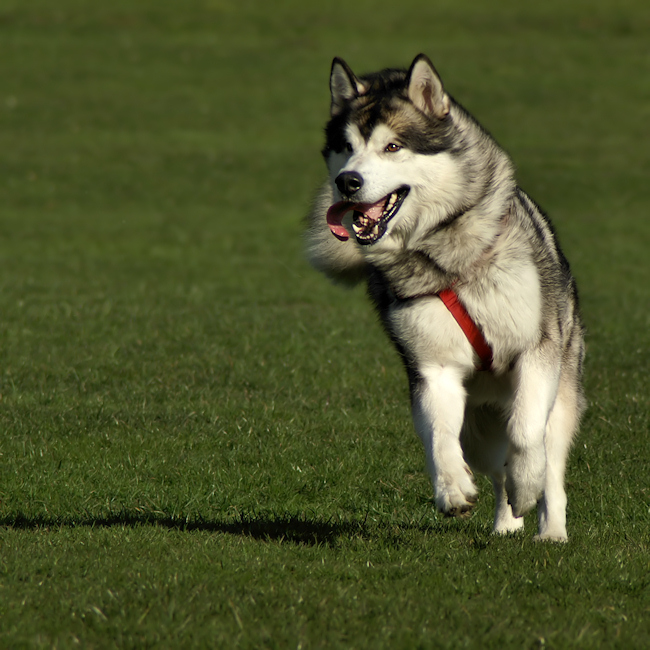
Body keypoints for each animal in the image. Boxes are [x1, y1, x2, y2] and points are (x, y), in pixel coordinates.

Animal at [306, 53, 584, 540]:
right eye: (345, 146)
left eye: (392, 147)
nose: (347, 182)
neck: (443, 256)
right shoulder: (431, 367)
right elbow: (438, 435)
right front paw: (452, 489)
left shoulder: (537, 349)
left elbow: (527, 432)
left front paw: (527, 486)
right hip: (479, 429)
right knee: (494, 465)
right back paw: (506, 523)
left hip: (561, 386)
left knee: (548, 457)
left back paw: (550, 529)